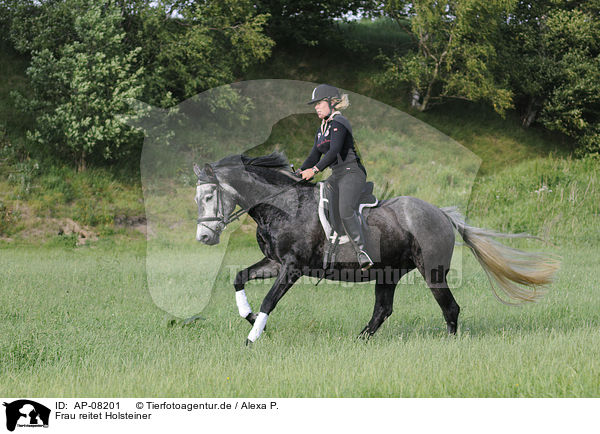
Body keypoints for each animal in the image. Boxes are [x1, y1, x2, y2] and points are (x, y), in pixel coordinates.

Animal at [195, 151, 560, 344]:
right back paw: (359, 340)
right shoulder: (274, 262)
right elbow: (239, 278)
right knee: (383, 309)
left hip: (432, 272)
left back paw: (449, 342)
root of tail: (441, 213)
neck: (284, 206)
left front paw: (252, 337)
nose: (204, 238)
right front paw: (250, 317)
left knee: (450, 308)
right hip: (389, 273)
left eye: (209, 195)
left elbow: (270, 299)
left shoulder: (293, 267)